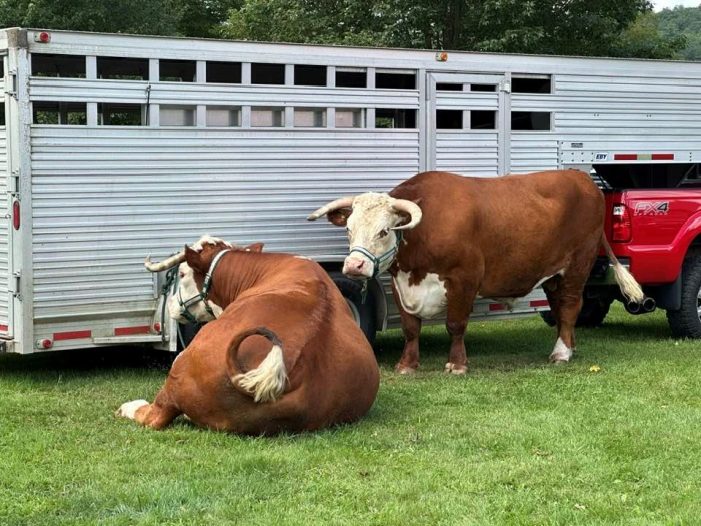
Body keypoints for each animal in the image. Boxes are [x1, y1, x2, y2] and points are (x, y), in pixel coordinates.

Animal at [308, 170, 644, 376]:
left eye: (384, 230)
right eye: (349, 229)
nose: (354, 266)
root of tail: (580, 177)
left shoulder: (464, 278)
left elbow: (455, 325)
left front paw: (457, 364)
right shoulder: (401, 283)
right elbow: (410, 327)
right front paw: (407, 364)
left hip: (577, 267)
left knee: (572, 306)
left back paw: (561, 353)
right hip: (552, 275)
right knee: (561, 309)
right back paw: (568, 347)